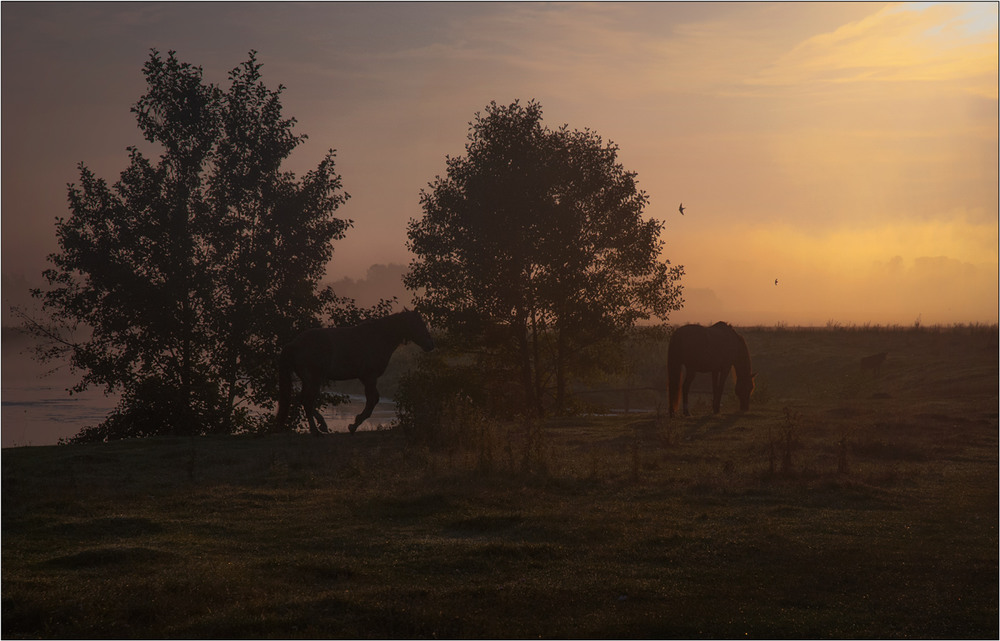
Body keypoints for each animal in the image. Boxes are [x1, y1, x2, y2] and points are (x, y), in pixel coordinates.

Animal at [274, 310, 434, 436]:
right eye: (419, 324)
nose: (430, 344)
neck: (377, 337)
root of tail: (293, 344)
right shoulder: (369, 377)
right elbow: (372, 401)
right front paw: (353, 425)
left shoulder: (366, 379)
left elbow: (373, 400)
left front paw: (354, 424)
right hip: (314, 380)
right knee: (307, 401)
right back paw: (316, 431)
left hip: (308, 381)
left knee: (302, 399)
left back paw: (322, 425)